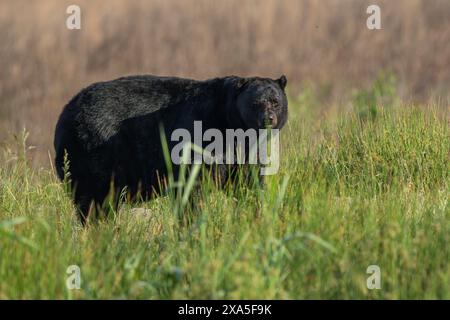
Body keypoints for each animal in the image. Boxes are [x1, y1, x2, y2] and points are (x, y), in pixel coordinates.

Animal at [55, 75, 288, 225]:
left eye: (275, 101)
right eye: (256, 102)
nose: (268, 119)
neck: (230, 126)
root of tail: (65, 112)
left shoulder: (244, 152)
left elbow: (248, 181)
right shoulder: (198, 135)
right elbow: (191, 185)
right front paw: (191, 221)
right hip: (93, 152)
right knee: (92, 200)